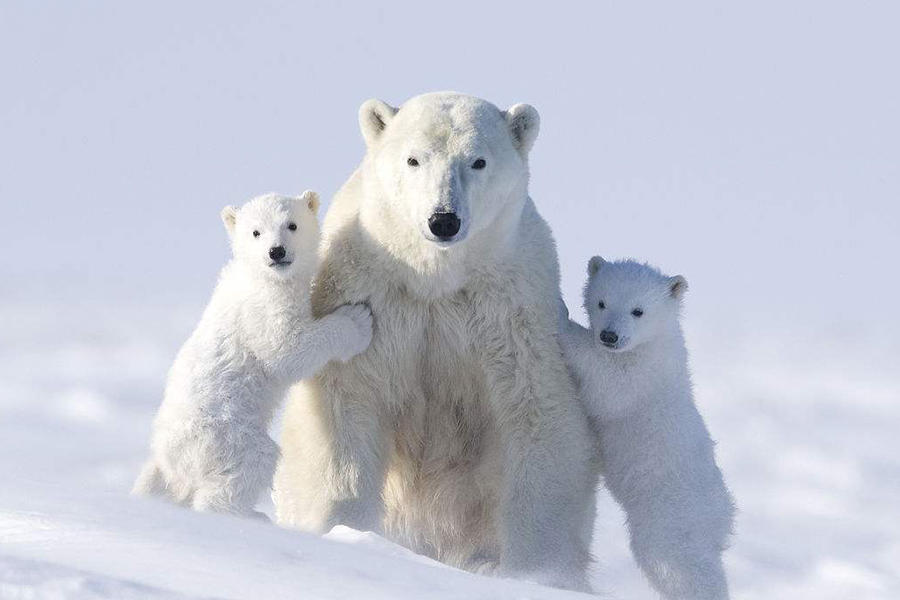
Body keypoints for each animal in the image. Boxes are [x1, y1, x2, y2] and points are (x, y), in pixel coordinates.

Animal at [133, 192, 372, 516]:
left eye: (292, 224)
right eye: (256, 232)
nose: (276, 251)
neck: (257, 276)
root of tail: (167, 458)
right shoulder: (263, 310)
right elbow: (287, 350)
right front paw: (357, 321)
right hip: (226, 435)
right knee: (251, 464)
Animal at [274, 94, 596, 592]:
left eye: (478, 161)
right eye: (414, 159)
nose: (443, 220)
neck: (434, 279)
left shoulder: (509, 313)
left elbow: (537, 416)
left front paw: (538, 573)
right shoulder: (374, 299)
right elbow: (346, 407)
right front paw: (344, 531)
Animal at [560, 258, 736, 600]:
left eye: (637, 310)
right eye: (602, 302)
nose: (609, 336)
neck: (658, 342)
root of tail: (723, 515)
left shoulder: (641, 373)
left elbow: (608, 384)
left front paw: (561, 318)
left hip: (670, 512)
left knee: (675, 561)